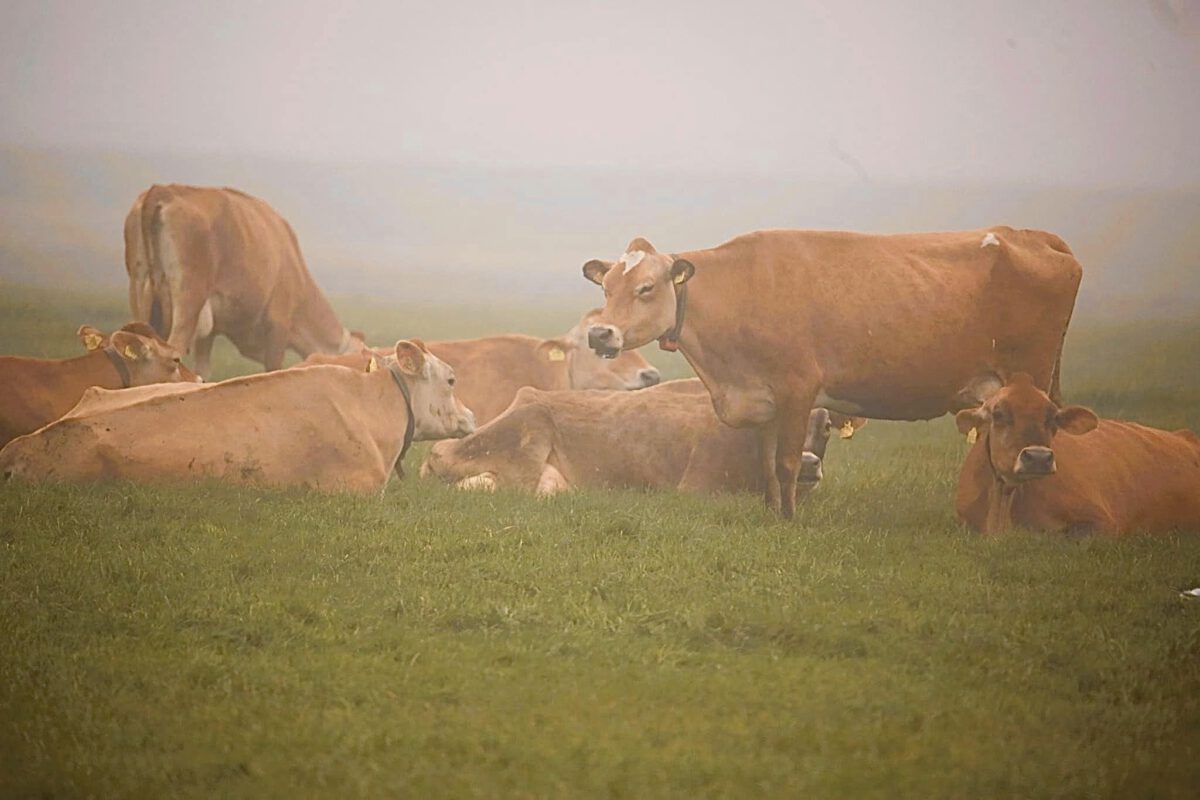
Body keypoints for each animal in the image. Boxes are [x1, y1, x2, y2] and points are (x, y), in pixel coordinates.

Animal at [125, 184, 364, 379]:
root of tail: (161, 190)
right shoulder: (278, 325)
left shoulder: (208, 333)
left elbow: (202, 372)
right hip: (189, 298)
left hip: (139, 289)